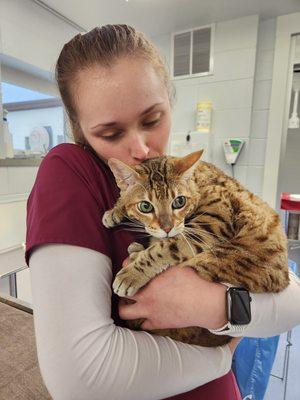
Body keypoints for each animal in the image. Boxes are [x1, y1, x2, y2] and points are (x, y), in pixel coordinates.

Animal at [102, 151, 290, 346]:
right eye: (145, 206)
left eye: (179, 201)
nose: (167, 228)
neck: (202, 179)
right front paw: (117, 209)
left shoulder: (209, 226)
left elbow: (164, 248)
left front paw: (132, 274)